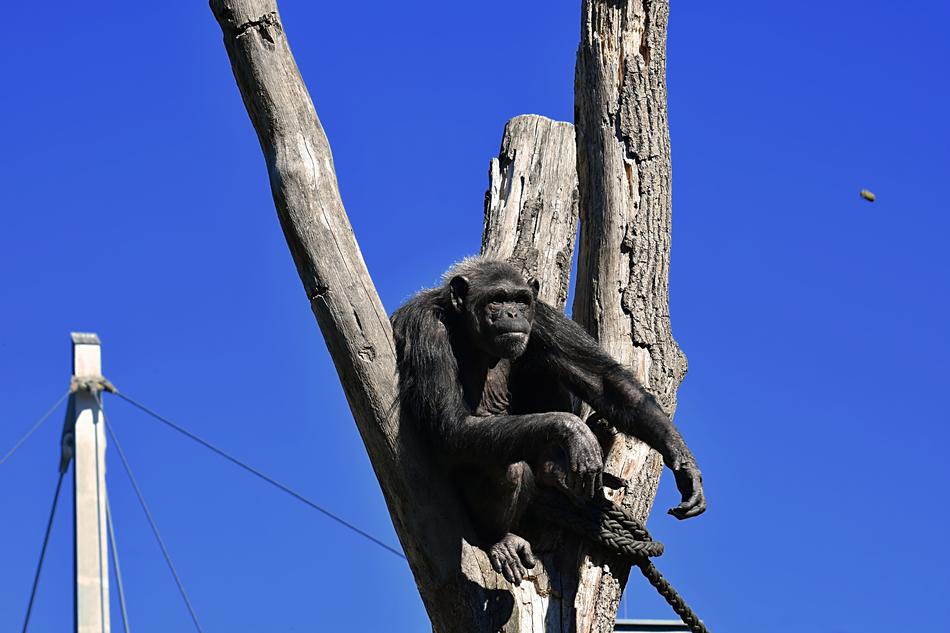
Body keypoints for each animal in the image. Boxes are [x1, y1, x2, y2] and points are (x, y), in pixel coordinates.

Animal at [391, 257, 705, 584]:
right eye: (496, 299)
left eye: (520, 300)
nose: (512, 314)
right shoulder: (426, 329)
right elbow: (450, 425)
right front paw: (573, 431)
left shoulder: (542, 317)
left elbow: (603, 380)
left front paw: (683, 462)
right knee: (507, 467)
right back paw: (501, 539)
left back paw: (554, 468)